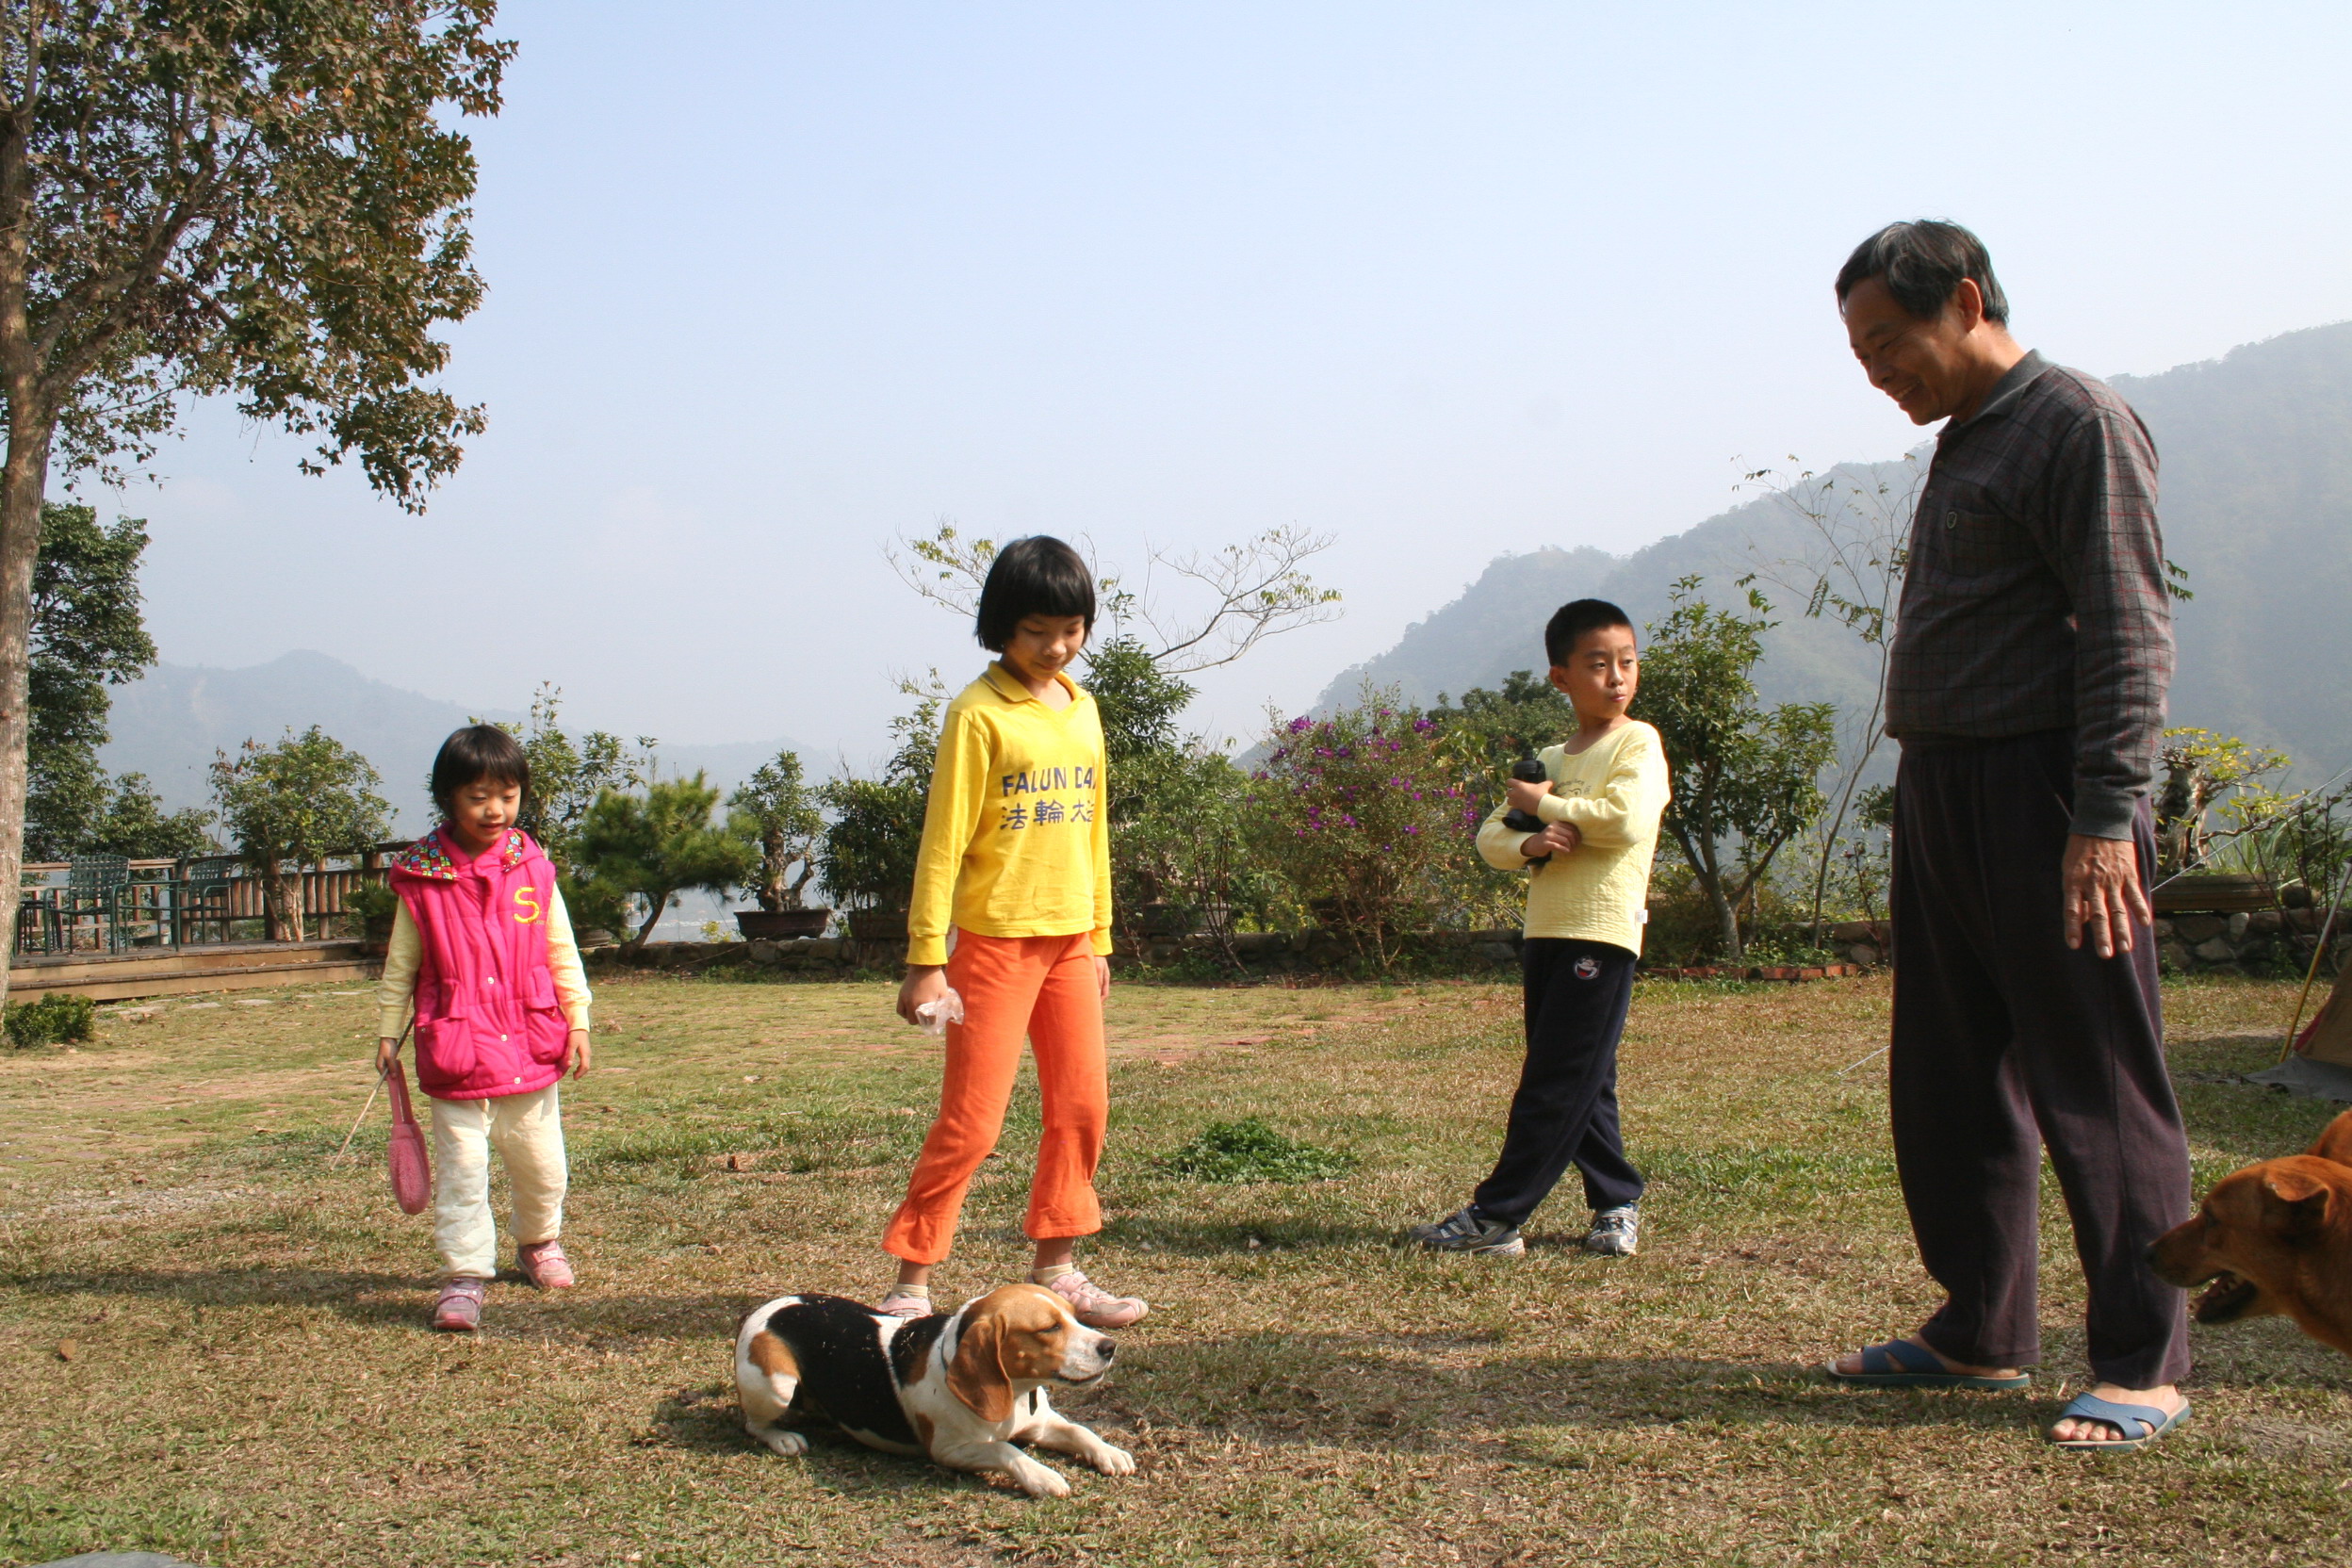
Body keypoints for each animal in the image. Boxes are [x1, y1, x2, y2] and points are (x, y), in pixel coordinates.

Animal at [733, 1279, 1138, 1504]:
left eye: (1073, 1315)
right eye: (1049, 1328)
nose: (1110, 1347)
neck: (1016, 1394)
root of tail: (766, 1307)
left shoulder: (1041, 1423)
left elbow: (1080, 1431)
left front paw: (1110, 1453)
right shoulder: (949, 1450)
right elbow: (1006, 1450)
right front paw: (1043, 1477)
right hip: (776, 1386)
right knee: (753, 1424)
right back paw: (783, 1438)